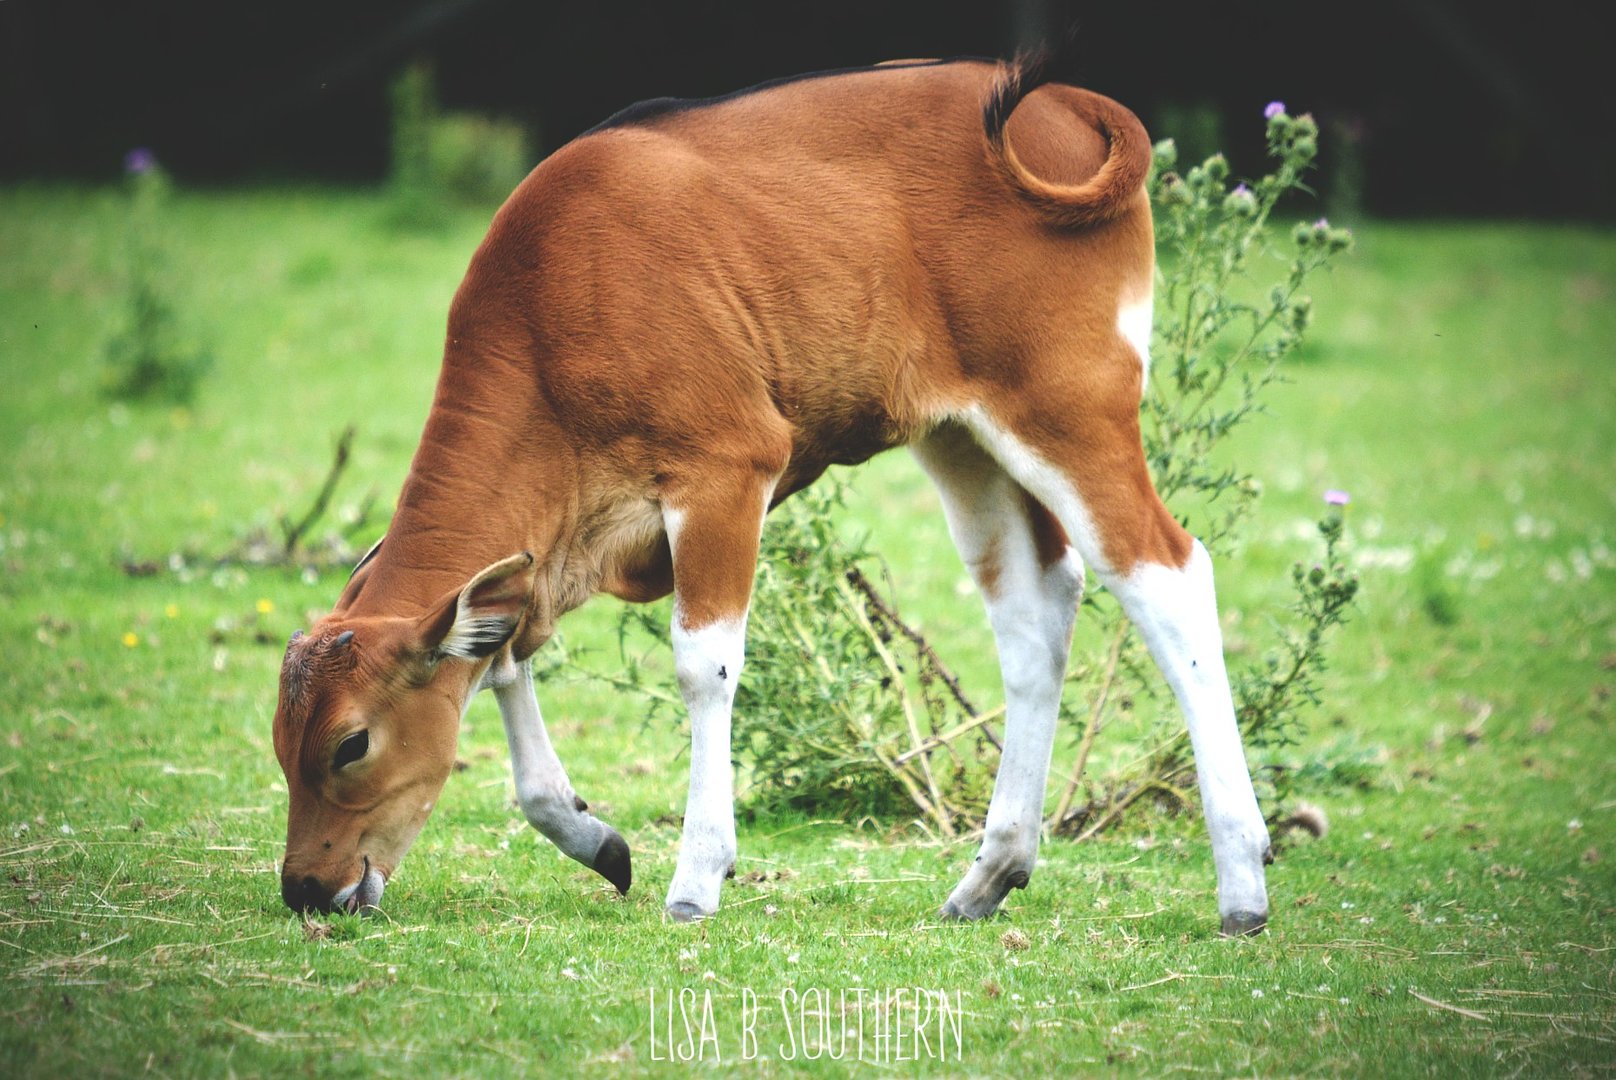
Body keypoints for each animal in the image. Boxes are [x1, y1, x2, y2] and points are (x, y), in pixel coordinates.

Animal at [272, 51, 1274, 936]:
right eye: (282, 746)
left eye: (350, 744)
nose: (305, 888)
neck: (552, 316)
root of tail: (1068, 105)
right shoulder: (551, 546)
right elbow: (505, 651)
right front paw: (593, 836)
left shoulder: (724, 469)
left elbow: (702, 665)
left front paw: (695, 877)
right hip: (962, 437)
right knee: (1034, 608)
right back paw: (992, 872)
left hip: (1072, 409)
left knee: (1168, 577)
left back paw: (1242, 883)